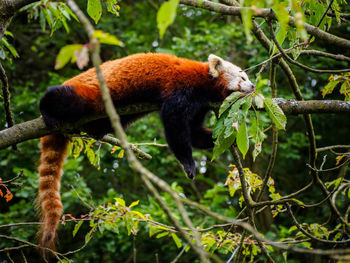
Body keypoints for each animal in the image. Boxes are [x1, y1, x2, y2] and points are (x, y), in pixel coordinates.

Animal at [37, 52, 254, 256]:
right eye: (242, 77)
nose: (252, 86)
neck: (204, 81)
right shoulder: (181, 89)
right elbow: (175, 126)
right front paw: (188, 164)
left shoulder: (200, 106)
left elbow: (194, 133)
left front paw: (236, 137)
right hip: (90, 93)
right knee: (65, 98)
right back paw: (47, 109)